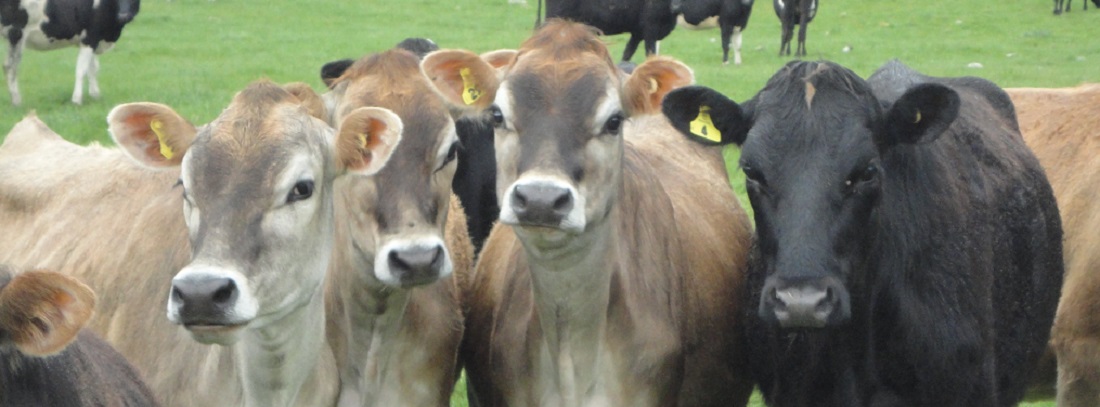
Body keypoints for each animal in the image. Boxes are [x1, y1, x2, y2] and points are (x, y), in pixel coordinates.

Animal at [1, 0, 139, 106]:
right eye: (116, 0)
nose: (123, 15)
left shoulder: (93, 40)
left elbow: (93, 69)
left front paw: (95, 95)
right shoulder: (89, 38)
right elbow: (81, 70)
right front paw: (76, 100)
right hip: (16, 33)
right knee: (10, 67)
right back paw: (17, 101)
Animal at [536, 0, 677, 63]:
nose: (675, 6)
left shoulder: (638, 33)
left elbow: (627, 53)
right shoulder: (651, 29)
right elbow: (651, 54)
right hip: (556, 16)